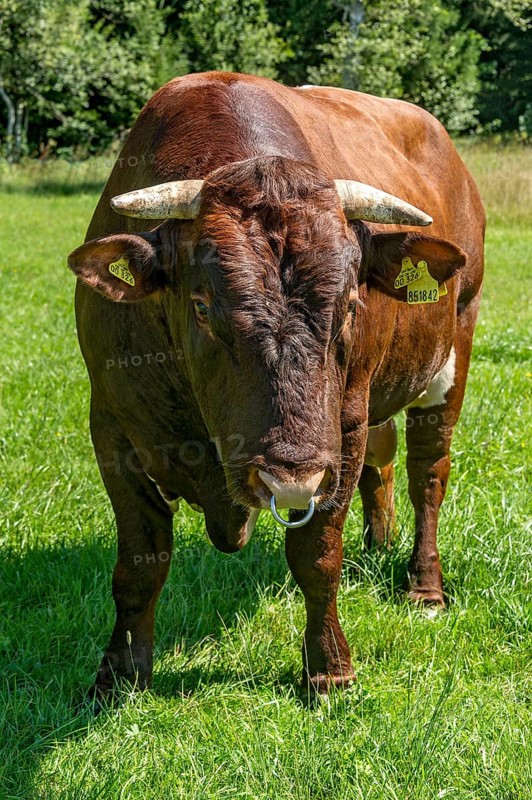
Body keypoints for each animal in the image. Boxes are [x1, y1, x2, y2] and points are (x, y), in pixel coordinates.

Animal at [68, 71, 484, 699]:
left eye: (351, 303)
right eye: (202, 306)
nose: (289, 476)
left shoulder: (340, 433)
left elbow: (316, 553)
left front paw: (329, 669)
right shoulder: (113, 426)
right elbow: (140, 562)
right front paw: (117, 675)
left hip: (454, 344)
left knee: (427, 475)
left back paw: (424, 586)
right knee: (383, 462)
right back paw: (378, 542)